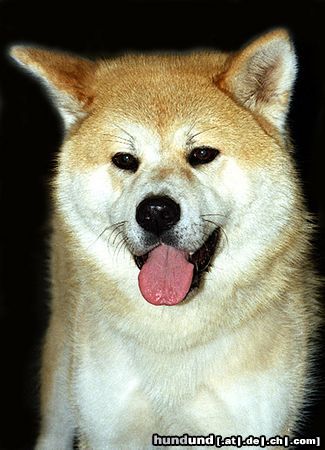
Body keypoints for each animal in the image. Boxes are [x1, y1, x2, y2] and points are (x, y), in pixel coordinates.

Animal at [10, 29, 318, 448]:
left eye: (202, 154)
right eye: (125, 160)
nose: (156, 211)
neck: (172, 337)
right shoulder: (106, 431)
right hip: (61, 387)